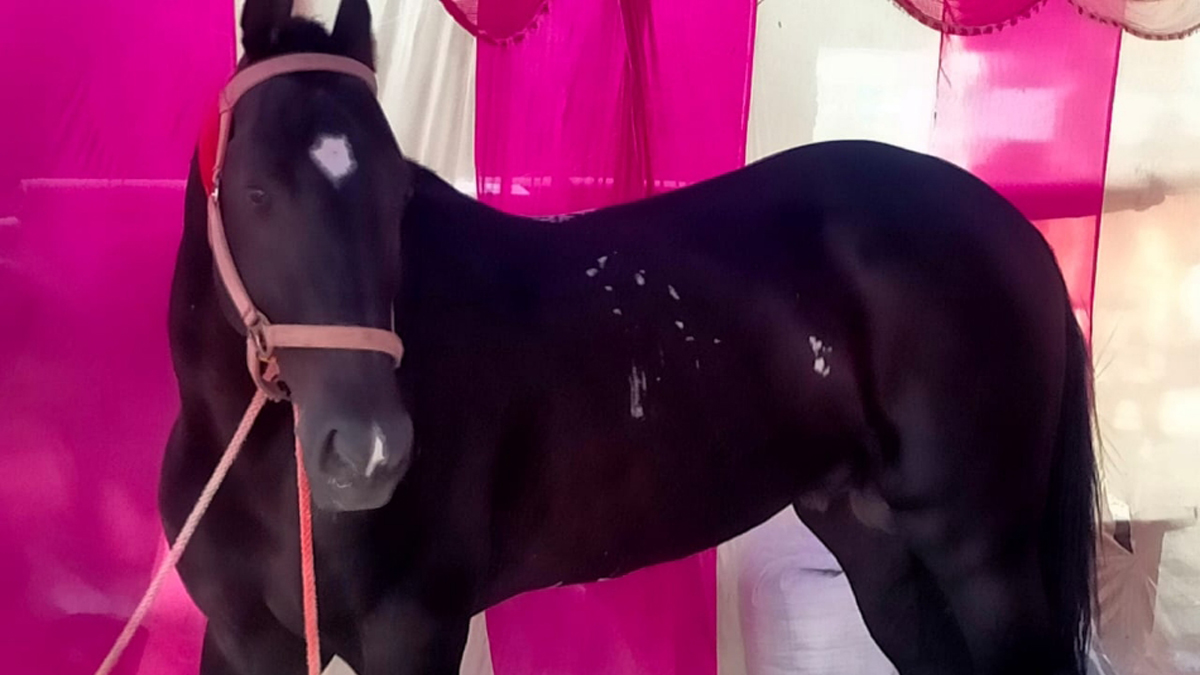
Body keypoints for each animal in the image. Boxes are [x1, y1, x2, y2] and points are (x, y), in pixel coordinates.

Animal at [159, 0, 1099, 673]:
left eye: (399, 195)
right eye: (256, 190)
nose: (369, 451)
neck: (257, 467)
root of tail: (1015, 231)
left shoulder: (411, 633)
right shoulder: (244, 643)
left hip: (982, 559)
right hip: (882, 550)